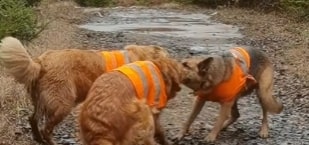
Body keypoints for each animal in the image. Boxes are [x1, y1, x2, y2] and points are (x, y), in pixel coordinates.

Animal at [0, 36, 168, 145]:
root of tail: (40, 62)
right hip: (63, 102)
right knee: (46, 128)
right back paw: (49, 141)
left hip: (40, 100)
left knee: (33, 119)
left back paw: (38, 139)